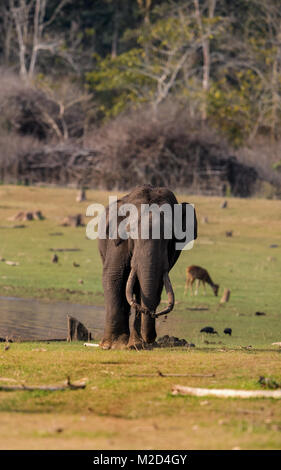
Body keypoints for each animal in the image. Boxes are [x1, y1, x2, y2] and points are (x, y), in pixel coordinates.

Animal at [98, 184, 197, 348]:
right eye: (130, 231)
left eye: (170, 236)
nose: (153, 313)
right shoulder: (117, 243)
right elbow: (114, 276)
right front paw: (113, 345)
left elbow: (154, 285)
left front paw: (136, 345)